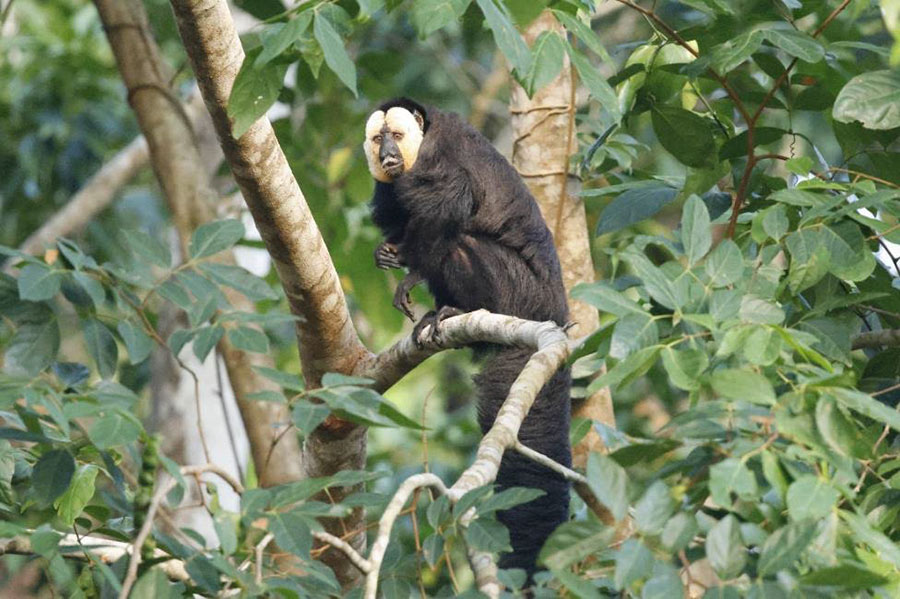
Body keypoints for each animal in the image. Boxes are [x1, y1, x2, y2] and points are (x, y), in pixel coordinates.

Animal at [364, 97, 568, 576]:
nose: (387, 155)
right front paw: (389, 252)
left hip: (520, 295)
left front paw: (410, 272)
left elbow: (450, 202)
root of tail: (554, 314)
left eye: (395, 136)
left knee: (459, 240)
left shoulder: (439, 158)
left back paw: (458, 311)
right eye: (377, 138)